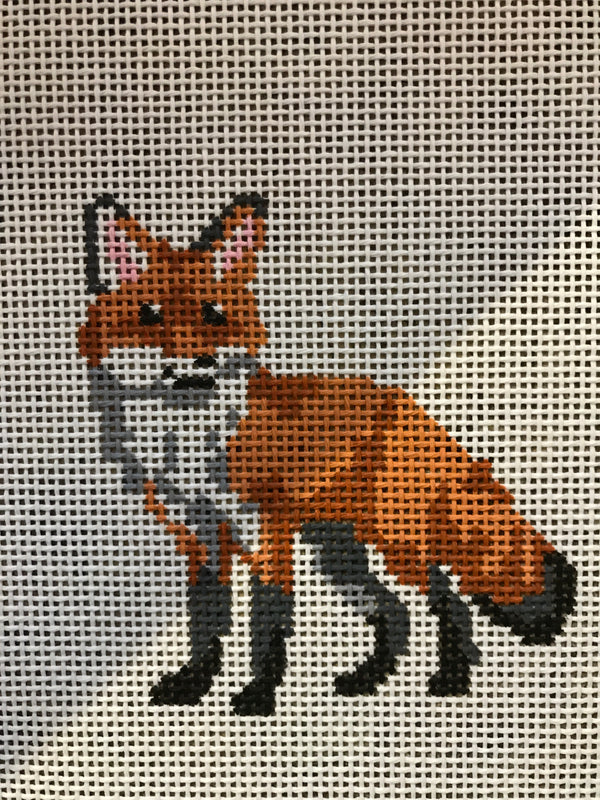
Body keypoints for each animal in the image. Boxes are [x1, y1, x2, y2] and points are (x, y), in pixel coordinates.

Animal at [78, 192, 576, 715]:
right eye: (149, 315)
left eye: (214, 315)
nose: (198, 362)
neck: (191, 443)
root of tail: (402, 401)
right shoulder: (197, 537)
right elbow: (205, 621)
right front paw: (192, 685)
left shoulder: (265, 533)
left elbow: (267, 620)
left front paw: (258, 696)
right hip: (339, 554)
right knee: (396, 612)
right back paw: (368, 680)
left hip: (397, 544)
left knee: (447, 600)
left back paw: (451, 681)